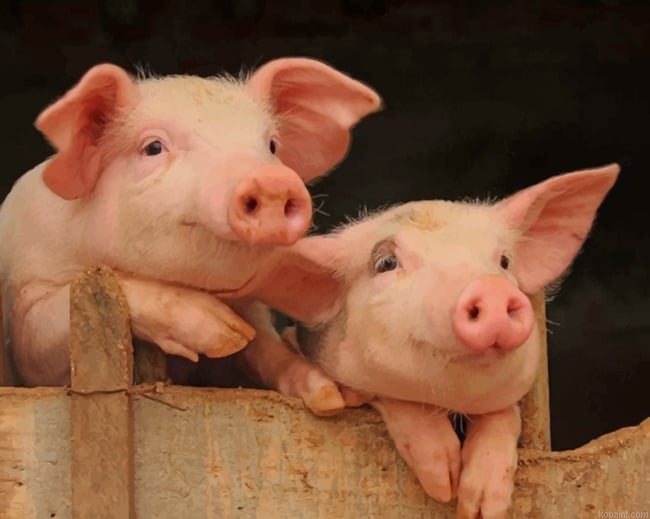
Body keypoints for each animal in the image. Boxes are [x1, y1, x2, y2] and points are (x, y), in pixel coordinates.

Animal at [0, 57, 381, 417]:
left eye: (272, 145)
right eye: (153, 147)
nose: (272, 182)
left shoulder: (251, 309)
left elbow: (264, 349)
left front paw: (334, 396)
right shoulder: (29, 305)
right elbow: (40, 338)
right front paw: (223, 332)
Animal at [230, 164, 620, 518]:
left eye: (505, 260)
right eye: (386, 262)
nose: (491, 288)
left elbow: (504, 412)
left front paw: (480, 507)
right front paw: (443, 484)